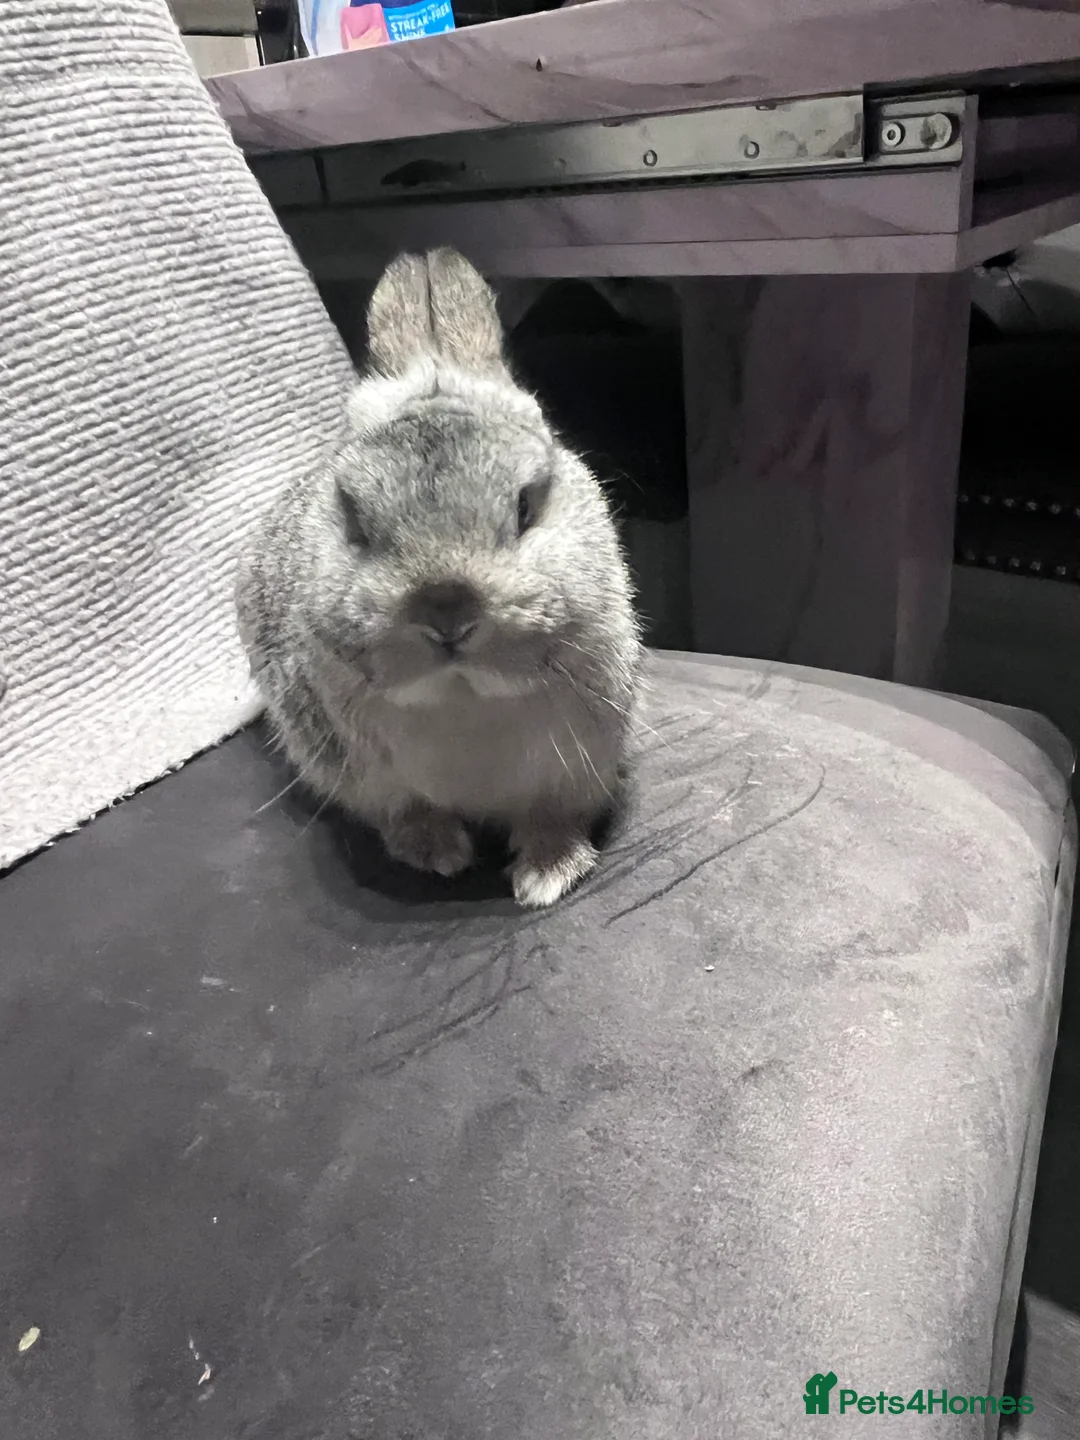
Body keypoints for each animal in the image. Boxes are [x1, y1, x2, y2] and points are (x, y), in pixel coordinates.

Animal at [236, 248, 641, 907]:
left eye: (525, 506)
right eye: (353, 516)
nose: (446, 610)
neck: (462, 697)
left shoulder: (575, 770)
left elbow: (552, 818)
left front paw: (547, 875)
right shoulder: (374, 784)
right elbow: (407, 814)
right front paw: (437, 855)